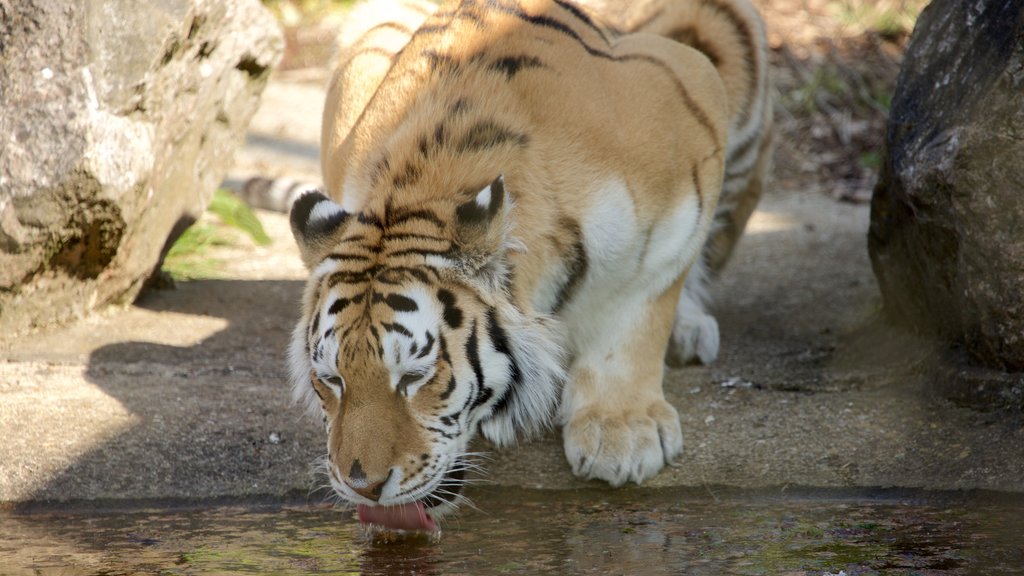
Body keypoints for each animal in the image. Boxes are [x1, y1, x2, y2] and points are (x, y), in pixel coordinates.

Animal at [284, 0, 770, 528]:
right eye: (332, 379)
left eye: (415, 377)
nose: (363, 486)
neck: (423, 190)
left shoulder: (686, 137)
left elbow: (641, 304)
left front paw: (622, 433)